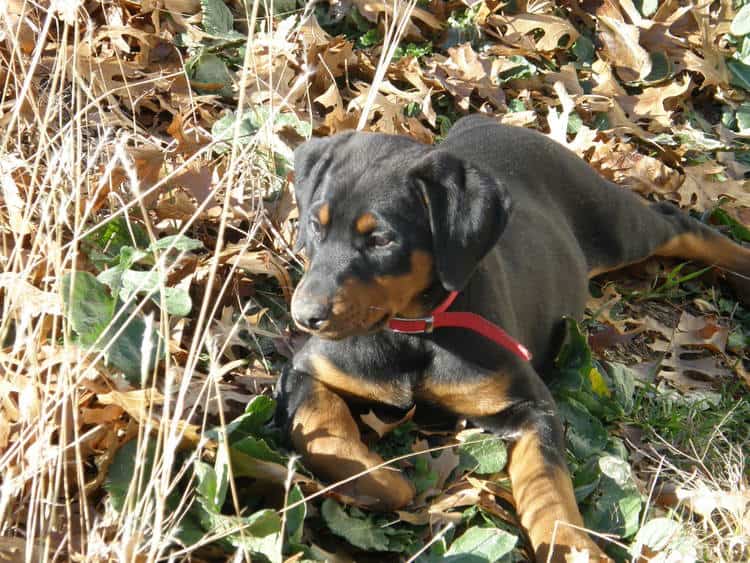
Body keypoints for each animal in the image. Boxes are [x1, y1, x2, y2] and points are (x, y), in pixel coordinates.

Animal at [274, 115, 750, 563]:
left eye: (381, 239)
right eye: (315, 226)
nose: (305, 316)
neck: (414, 333)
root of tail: (488, 122)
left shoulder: (531, 407)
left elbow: (548, 489)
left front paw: (573, 548)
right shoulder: (306, 369)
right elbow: (321, 430)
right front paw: (381, 479)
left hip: (613, 222)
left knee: (677, 222)